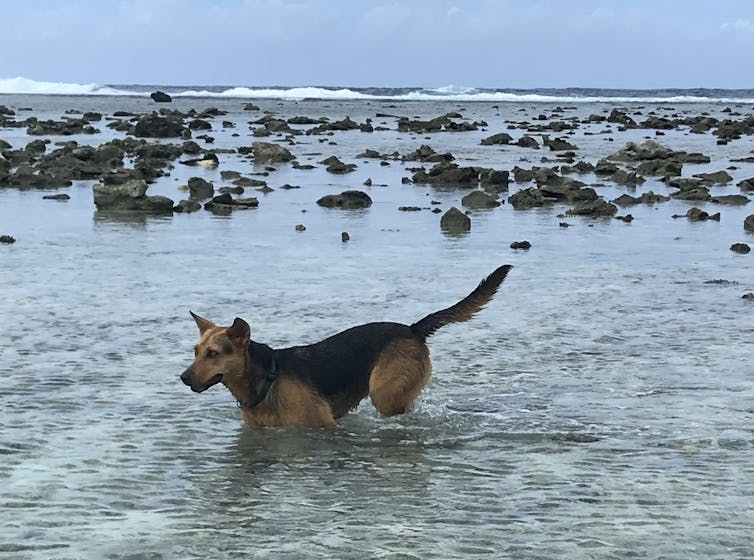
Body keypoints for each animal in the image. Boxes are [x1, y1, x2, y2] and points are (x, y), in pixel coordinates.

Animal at [181, 264, 512, 426]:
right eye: (196, 352)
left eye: (213, 354)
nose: (183, 378)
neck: (265, 382)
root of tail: (412, 329)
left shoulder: (322, 427)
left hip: (385, 393)